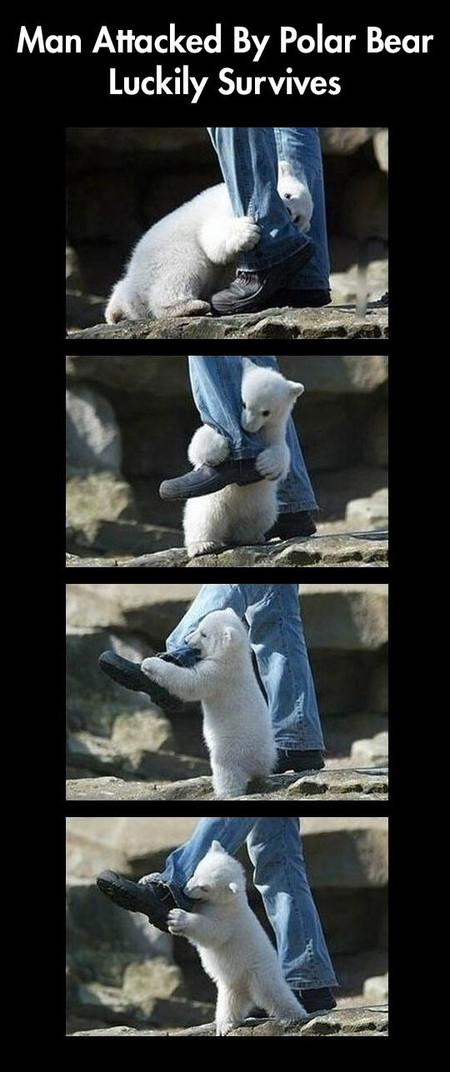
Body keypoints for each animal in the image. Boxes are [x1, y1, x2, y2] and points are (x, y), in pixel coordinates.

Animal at [105, 160, 313, 322]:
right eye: (288, 195)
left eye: (297, 219)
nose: (288, 212)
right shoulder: (225, 206)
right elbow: (212, 238)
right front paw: (248, 231)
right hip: (166, 255)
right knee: (187, 266)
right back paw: (190, 307)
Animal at [141, 608, 277, 799]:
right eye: (199, 627)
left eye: (204, 634)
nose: (186, 640)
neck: (233, 658)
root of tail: (258, 760)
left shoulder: (218, 674)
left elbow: (190, 683)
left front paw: (150, 663)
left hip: (232, 747)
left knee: (226, 769)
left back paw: (224, 792)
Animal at [167, 840, 308, 1036]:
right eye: (195, 872)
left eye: (205, 887)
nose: (186, 890)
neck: (230, 901)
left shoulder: (229, 919)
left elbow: (213, 931)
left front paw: (176, 917)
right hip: (233, 982)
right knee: (230, 1001)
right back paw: (225, 1025)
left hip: (260, 972)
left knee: (273, 993)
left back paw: (296, 1015)